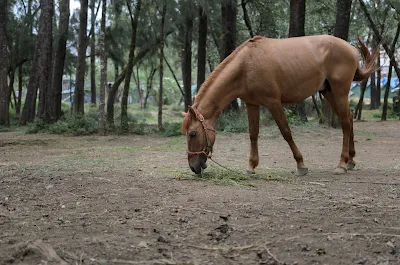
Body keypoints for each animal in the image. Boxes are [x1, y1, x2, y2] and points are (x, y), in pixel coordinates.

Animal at [183, 35, 376, 175]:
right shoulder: (252, 104)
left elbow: (286, 132)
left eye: (193, 133)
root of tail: (350, 48)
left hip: (340, 91)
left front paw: (301, 165)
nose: (193, 166)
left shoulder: (273, 102)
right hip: (329, 92)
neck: (245, 66)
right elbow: (253, 134)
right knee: (349, 119)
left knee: (345, 123)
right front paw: (251, 166)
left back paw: (342, 164)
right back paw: (351, 160)